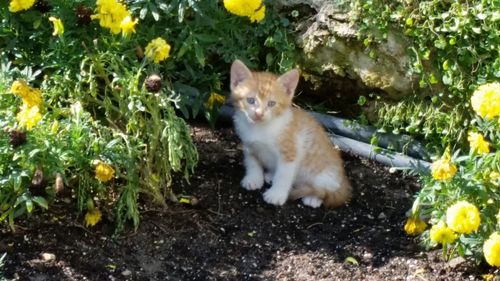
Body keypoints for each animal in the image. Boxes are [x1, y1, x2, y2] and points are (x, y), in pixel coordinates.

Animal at [230, 59, 352, 208]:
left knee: (325, 189)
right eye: (251, 100)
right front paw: (253, 179)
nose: (259, 114)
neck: (260, 129)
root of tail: (342, 181)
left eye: (271, 103)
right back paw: (271, 175)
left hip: (325, 173)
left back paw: (313, 198)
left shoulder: (290, 151)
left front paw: (276, 194)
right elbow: (252, 162)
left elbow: (284, 175)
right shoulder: (249, 144)